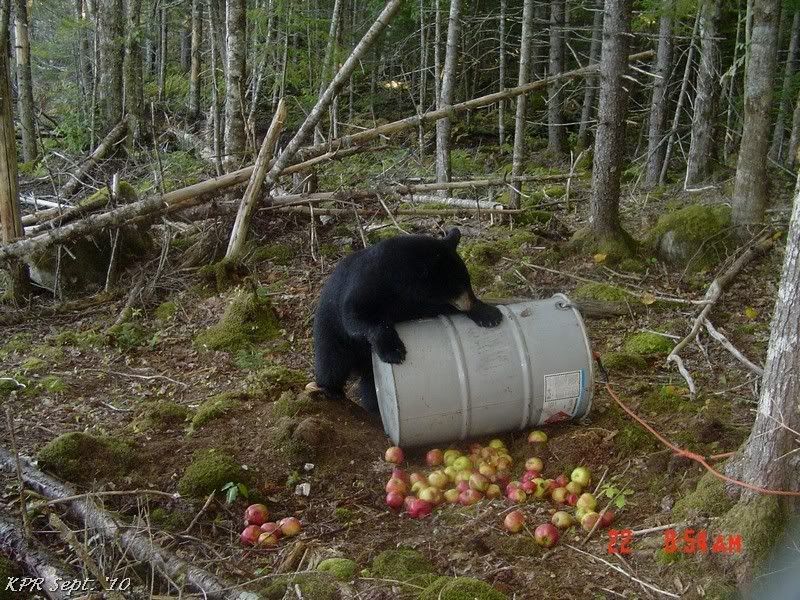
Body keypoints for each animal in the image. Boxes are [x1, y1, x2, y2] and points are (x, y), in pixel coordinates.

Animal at [308, 228, 503, 413]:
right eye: (458, 286)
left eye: (467, 281)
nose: (468, 303)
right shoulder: (365, 286)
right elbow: (356, 317)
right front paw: (394, 351)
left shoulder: (418, 302)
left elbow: (439, 308)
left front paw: (489, 314)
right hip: (330, 330)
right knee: (332, 362)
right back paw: (330, 390)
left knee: (370, 384)